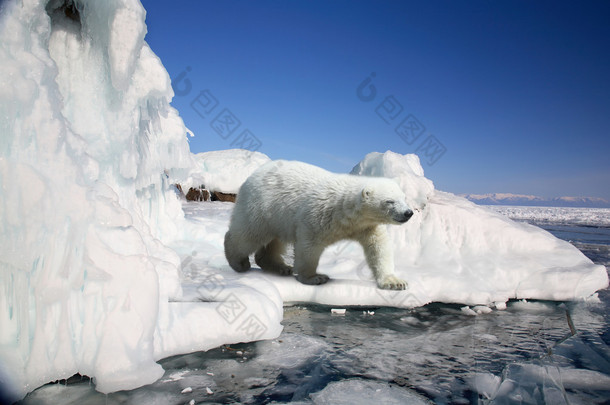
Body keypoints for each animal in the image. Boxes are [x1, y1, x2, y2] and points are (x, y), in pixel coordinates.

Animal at [223, 159, 414, 288]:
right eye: (389, 201)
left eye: (404, 198)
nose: (408, 213)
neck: (346, 212)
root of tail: (252, 175)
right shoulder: (318, 215)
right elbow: (309, 246)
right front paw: (315, 278)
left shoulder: (367, 226)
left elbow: (379, 246)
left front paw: (394, 282)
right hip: (261, 207)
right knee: (248, 234)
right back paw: (239, 262)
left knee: (274, 241)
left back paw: (281, 267)